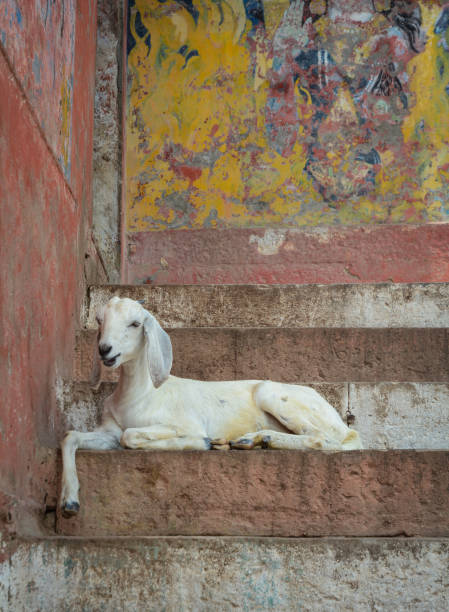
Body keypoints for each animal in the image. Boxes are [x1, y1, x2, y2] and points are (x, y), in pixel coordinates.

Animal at [59, 296, 360, 516]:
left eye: (134, 323)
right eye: (100, 320)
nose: (105, 350)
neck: (140, 395)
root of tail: (344, 427)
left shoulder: (183, 423)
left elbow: (130, 435)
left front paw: (202, 442)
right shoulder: (107, 433)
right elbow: (71, 436)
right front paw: (69, 501)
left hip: (273, 395)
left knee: (323, 439)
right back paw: (251, 440)